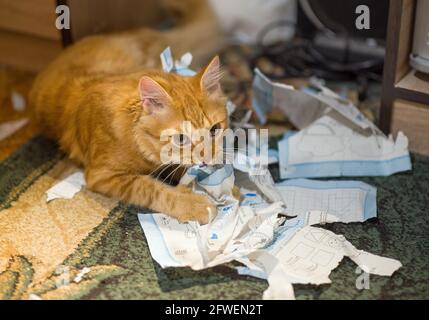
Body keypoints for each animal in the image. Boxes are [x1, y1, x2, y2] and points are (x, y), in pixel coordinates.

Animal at [30, 0, 226, 225]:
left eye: (215, 129)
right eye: (181, 139)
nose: (207, 159)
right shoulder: (103, 176)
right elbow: (152, 188)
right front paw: (193, 203)